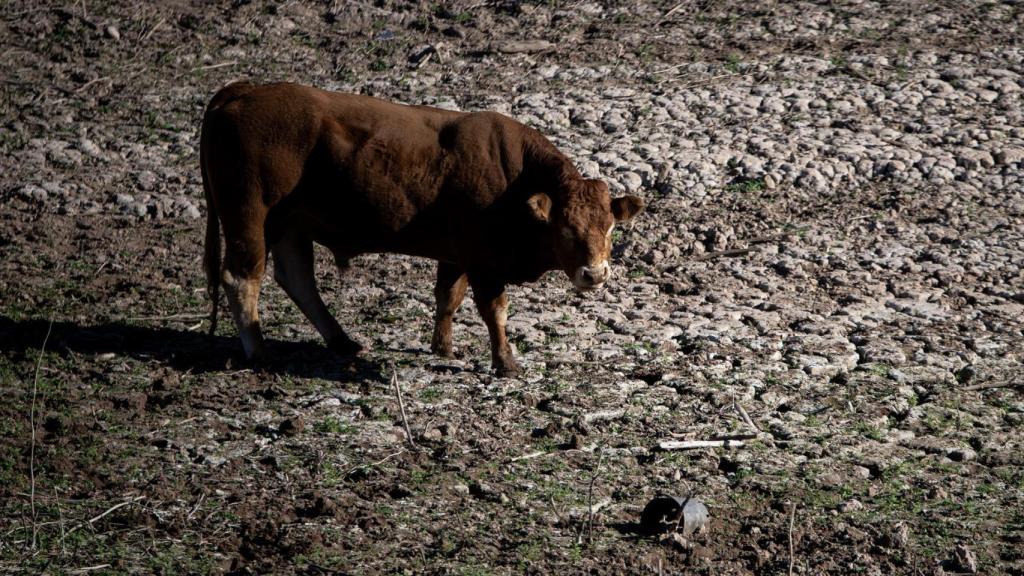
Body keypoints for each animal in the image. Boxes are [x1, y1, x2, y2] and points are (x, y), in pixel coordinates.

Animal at [201, 81, 643, 376]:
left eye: (609, 228)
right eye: (565, 228)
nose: (594, 274)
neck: (512, 178)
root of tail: (241, 91)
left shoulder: (456, 254)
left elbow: (448, 298)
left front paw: (443, 348)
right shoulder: (483, 261)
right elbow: (494, 311)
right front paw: (505, 362)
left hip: (290, 223)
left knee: (296, 278)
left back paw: (342, 340)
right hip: (249, 214)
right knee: (241, 277)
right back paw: (259, 352)